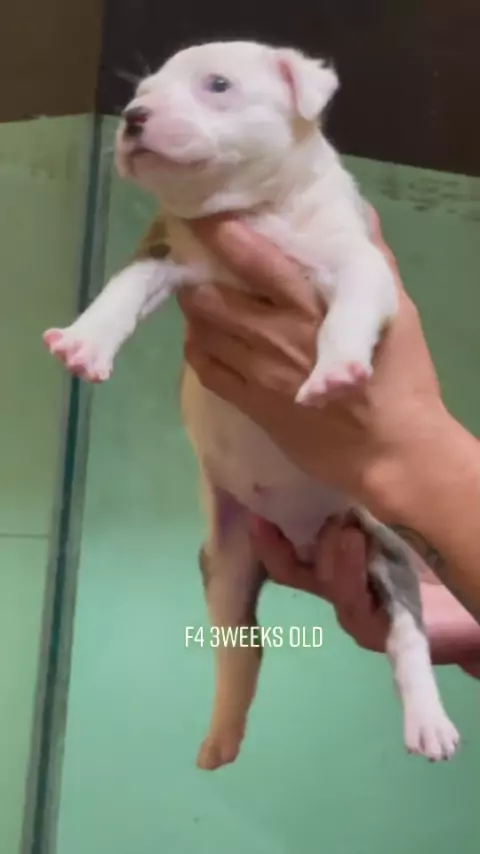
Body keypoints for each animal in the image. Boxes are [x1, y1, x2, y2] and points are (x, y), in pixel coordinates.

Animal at [43, 40, 459, 768]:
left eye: (217, 85)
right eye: (141, 92)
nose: (133, 118)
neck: (256, 209)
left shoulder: (360, 260)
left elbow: (351, 303)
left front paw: (336, 369)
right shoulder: (164, 254)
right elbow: (120, 291)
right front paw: (85, 342)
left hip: (382, 547)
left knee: (407, 637)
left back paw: (428, 725)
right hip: (227, 564)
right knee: (243, 649)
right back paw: (222, 737)